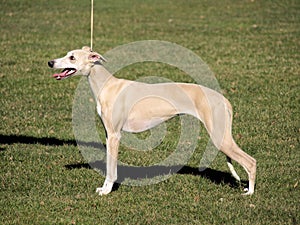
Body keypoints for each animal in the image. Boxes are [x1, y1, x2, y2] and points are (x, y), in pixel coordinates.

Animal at [48, 45, 256, 195]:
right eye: (67, 54)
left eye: (72, 57)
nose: (50, 62)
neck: (107, 85)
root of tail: (223, 99)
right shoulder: (108, 134)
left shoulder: (114, 136)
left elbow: (111, 169)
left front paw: (106, 190)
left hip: (220, 137)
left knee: (251, 162)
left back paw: (250, 192)